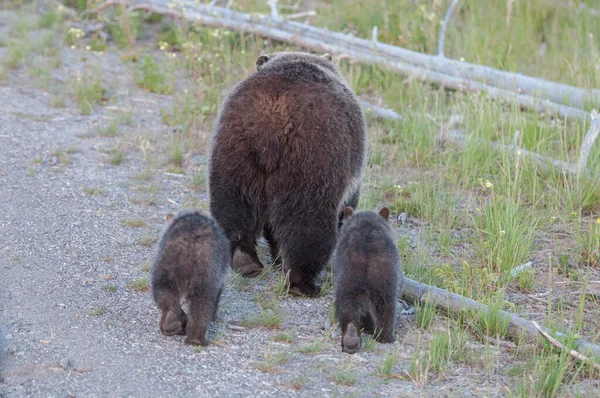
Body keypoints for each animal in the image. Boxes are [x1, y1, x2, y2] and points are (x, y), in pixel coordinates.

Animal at [209, 52, 366, 296]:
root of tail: (274, 114)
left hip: (235, 148)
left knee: (234, 205)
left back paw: (243, 258)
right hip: (313, 158)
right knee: (307, 221)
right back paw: (302, 282)